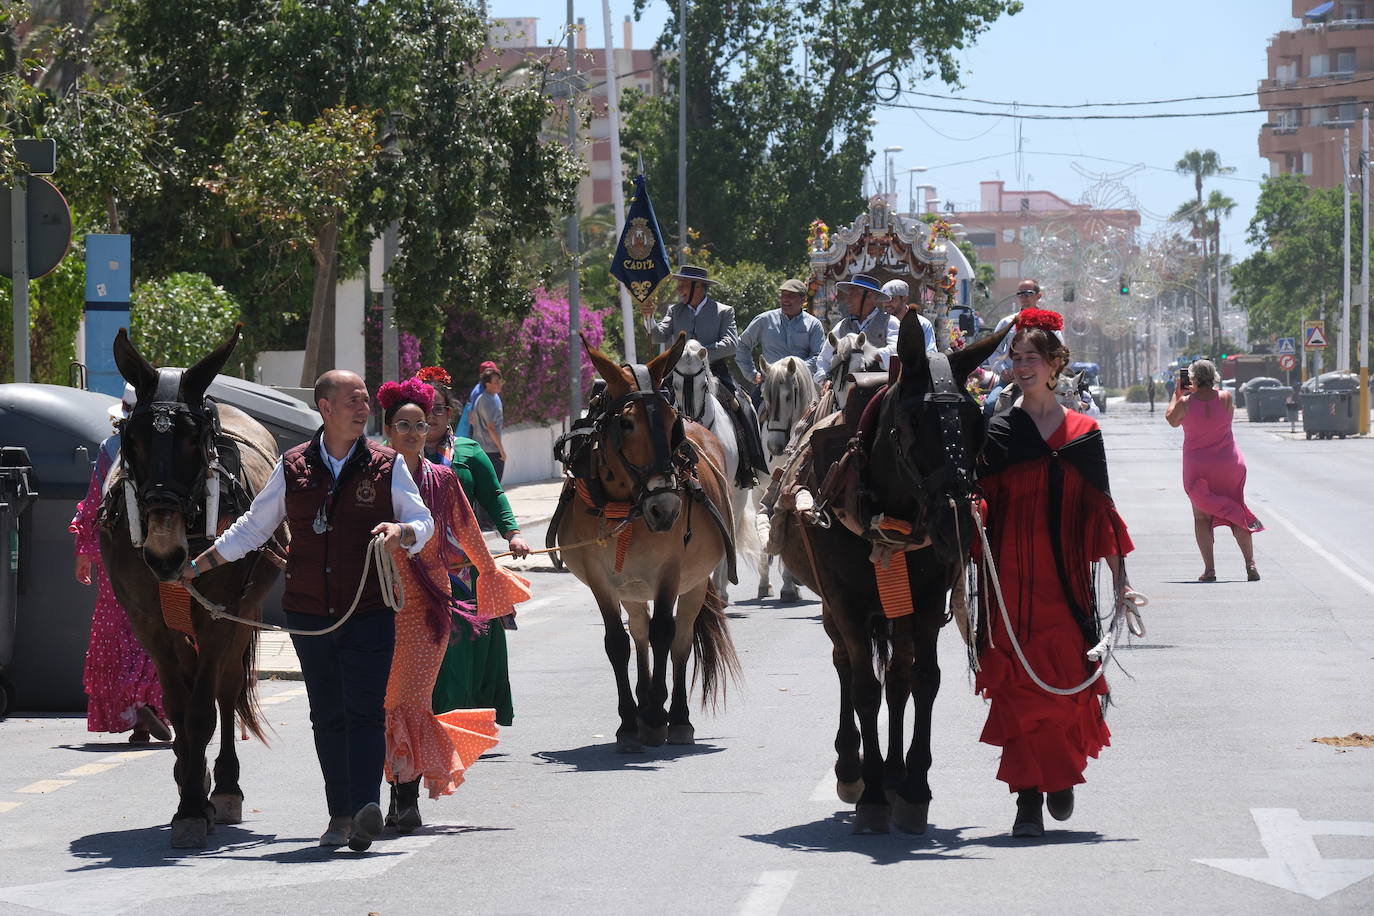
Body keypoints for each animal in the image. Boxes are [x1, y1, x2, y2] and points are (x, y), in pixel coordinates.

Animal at [103, 325, 284, 851]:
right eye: (132, 440)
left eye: (193, 440)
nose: (165, 555)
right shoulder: (149, 624)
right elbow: (179, 710)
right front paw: (187, 795)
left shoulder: (221, 614)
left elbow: (204, 710)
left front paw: (195, 806)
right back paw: (195, 777)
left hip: (243, 612)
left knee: (226, 689)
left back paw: (222, 786)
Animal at [780, 311, 1005, 834]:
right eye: (913, 421)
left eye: (976, 421)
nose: (957, 522)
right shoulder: (845, 602)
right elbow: (865, 687)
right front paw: (872, 796)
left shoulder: (926, 599)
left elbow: (922, 680)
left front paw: (913, 786)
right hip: (834, 608)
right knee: (847, 665)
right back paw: (854, 768)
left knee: (898, 678)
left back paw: (894, 773)